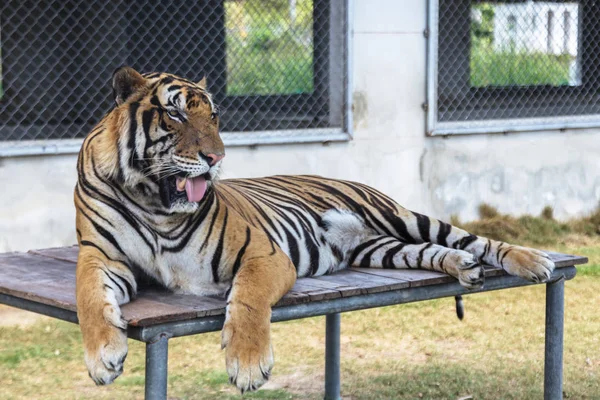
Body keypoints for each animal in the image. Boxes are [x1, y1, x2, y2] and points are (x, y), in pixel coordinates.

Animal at [76, 67, 556, 392]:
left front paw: (247, 365)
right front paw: (103, 358)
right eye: (174, 116)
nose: (216, 158)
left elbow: (247, 299)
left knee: (471, 238)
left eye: (213, 117)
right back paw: (464, 267)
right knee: (433, 251)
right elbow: (89, 298)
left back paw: (533, 261)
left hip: (402, 216)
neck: (155, 203)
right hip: (381, 249)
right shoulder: (101, 255)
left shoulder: (261, 253)